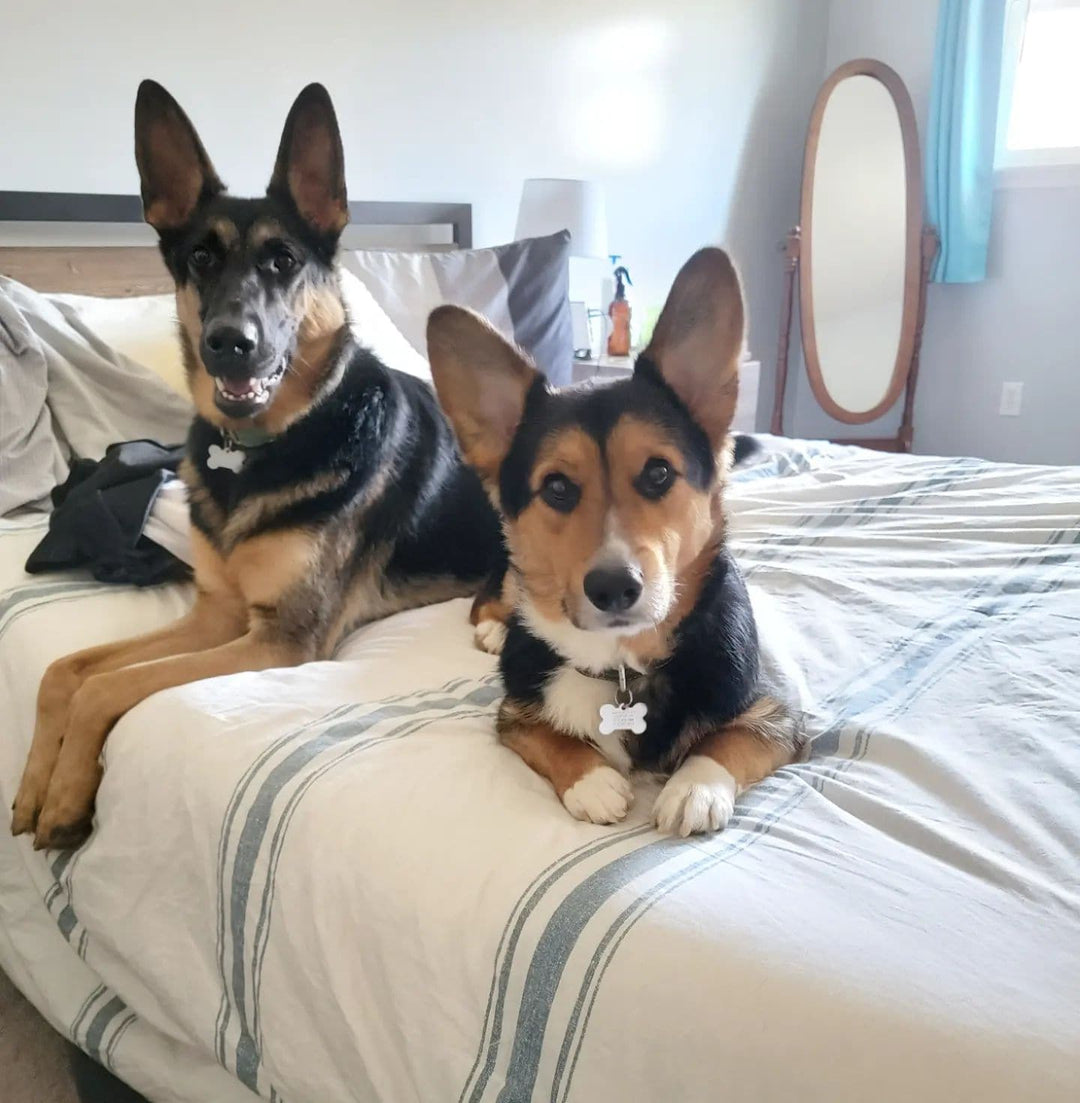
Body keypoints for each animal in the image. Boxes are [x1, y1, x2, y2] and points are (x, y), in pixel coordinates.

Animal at [11, 80, 502, 850]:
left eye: (282, 261)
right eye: (200, 260)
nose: (228, 344)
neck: (263, 449)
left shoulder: (279, 639)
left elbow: (104, 687)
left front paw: (65, 796)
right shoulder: (216, 616)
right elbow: (67, 670)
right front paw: (38, 784)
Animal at [427, 247, 803, 835]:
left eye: (658, 473)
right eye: (557, 487)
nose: (613, 588)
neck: (623, 665)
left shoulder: (777, 717)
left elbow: (727, 743)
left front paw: (694, 790)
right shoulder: (511, 717)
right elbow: (551, 738)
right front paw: (594, 782)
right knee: (488, 601)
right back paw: (493, 629)